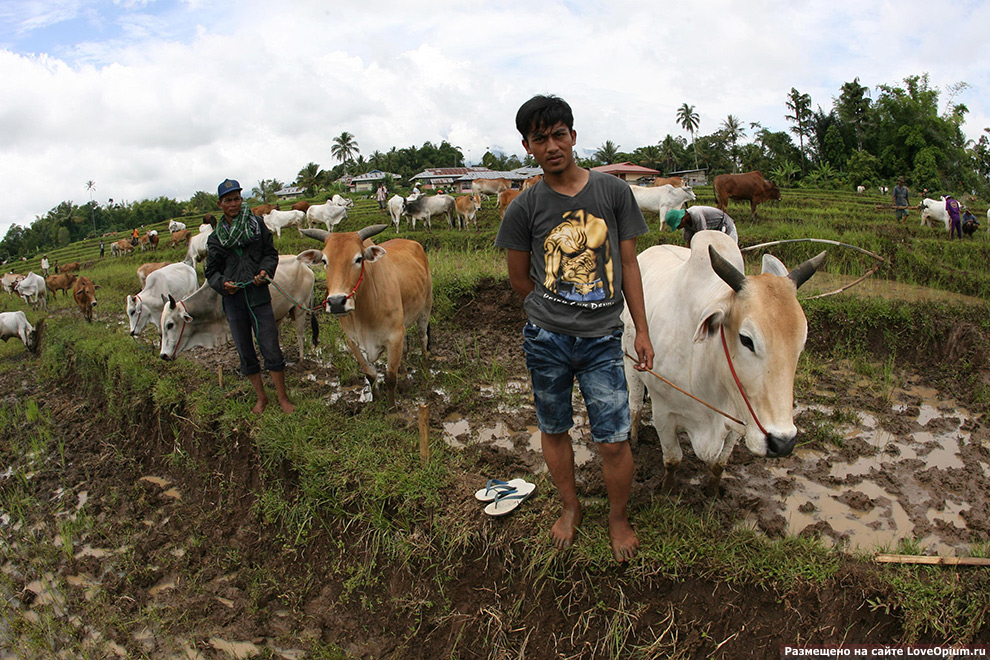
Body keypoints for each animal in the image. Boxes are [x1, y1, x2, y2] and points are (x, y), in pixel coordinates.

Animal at [161, 255, 318, 360]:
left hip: (300, 308)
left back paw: (301, 359)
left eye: (170, 325)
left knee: (300, 334)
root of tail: (304, 265)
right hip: (279, 312)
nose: (163, 355)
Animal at [296, 224, 432, 408]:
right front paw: (376, 400)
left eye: (359, 259)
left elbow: (390, 377)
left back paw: (425, 365)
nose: (337, 302)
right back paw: (404, 374)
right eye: (324, 261)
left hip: (425, 308)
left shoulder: (394, 336)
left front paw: (392, 408)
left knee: (423, 337)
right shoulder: (353, 341)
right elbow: (370, 375)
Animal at [624, 229, 824, 492]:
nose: (782, 443)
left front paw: (712, 493)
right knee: (635, 406)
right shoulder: (663, 412)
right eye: (746, 339)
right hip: (630, 363)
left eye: (801, 343)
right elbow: (673, 460)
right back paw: (635, 441)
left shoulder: (741, 418)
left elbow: (720, 464)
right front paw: (666, 491)